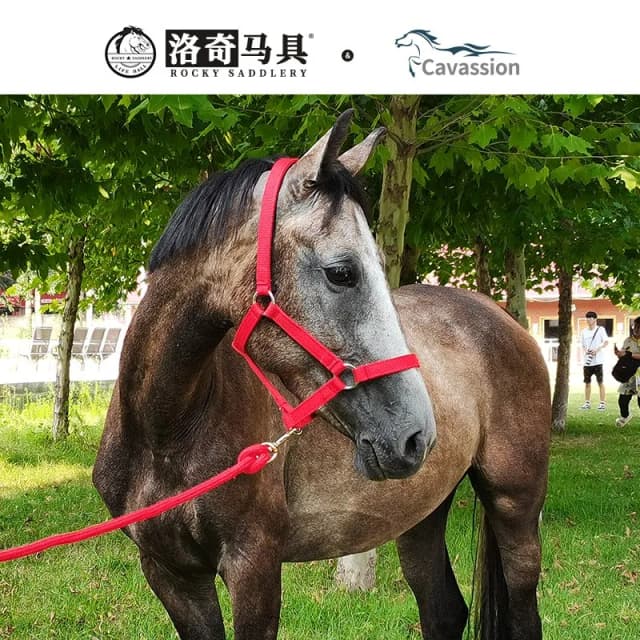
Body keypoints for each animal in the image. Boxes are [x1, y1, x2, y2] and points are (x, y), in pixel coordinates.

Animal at [93, 110, 550, 640]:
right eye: (341, 272)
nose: (416, 434)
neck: (167, 431)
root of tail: (500, 317)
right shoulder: (171, 573)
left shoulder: (254, 566)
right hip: (422, 512)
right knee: (443, 609)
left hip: (516, 507)